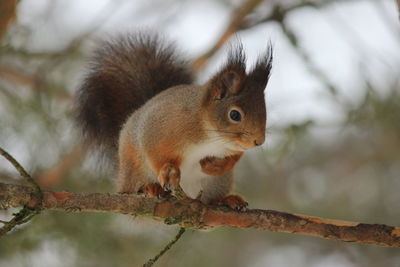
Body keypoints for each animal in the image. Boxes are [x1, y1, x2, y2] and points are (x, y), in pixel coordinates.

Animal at [76, 31, 272, 211]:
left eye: (264, 110)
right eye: (235, 115)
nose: (259, 141)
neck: (210, 135)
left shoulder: (233, 148)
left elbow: (235, 156)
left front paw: (215, 166)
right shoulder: (159, 128)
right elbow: (154, 152)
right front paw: (167, 172)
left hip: (217, 184)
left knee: (210, 200)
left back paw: (227, 200)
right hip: (135, 169)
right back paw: (150, 187)